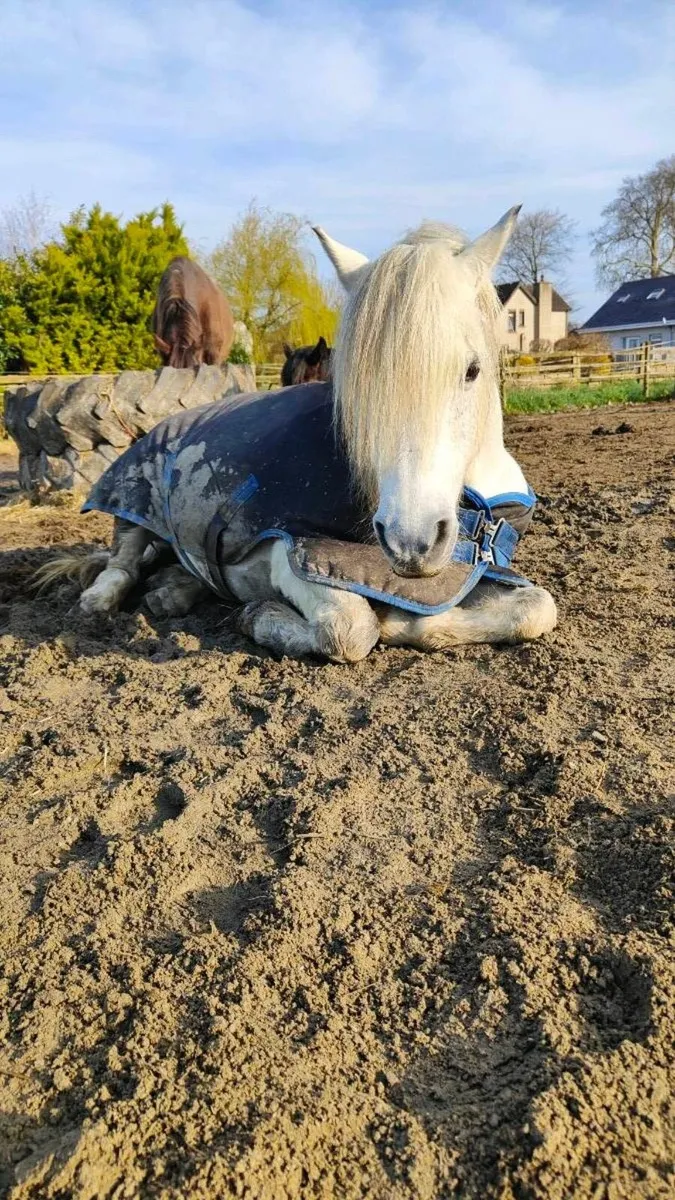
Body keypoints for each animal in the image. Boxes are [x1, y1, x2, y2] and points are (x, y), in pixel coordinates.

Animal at [37, 208, 557, 663]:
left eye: (471, 370)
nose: (411, 541)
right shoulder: (291, 551)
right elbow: (352, 628)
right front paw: (260, 615)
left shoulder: (477, 572)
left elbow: (537, 609)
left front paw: (410, 624)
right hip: (132, 495)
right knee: (123, 561)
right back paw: (100, 602)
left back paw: (174, 592)